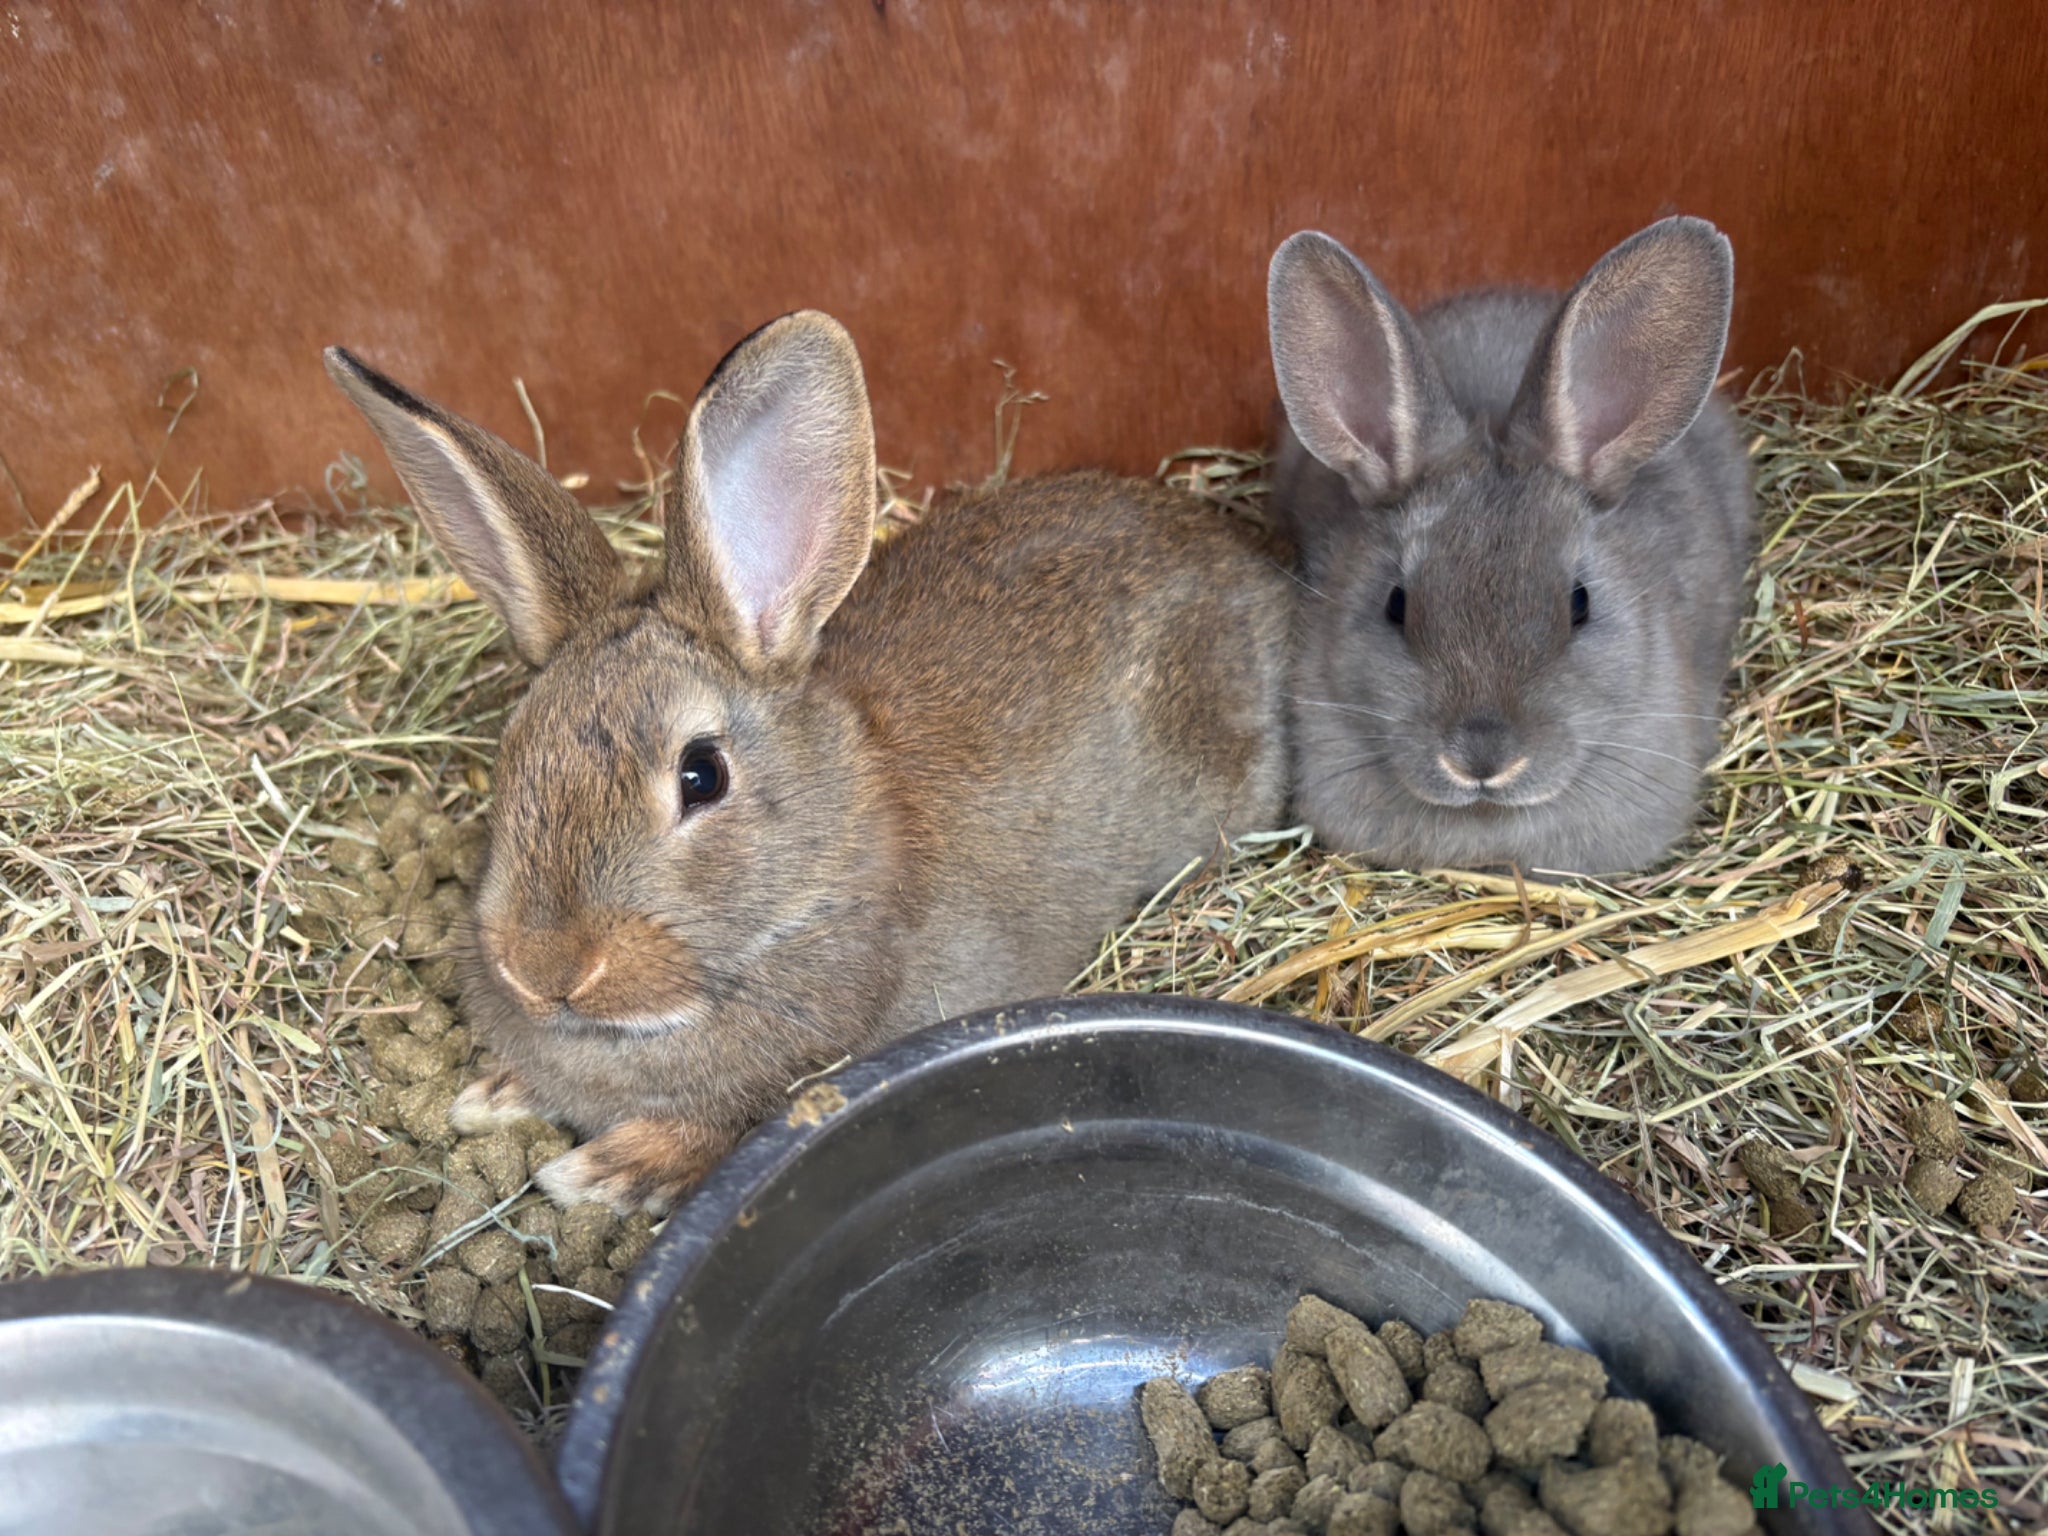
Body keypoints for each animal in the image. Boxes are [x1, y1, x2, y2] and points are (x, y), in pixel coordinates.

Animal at [324, 311, 1290, 1213]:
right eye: (513, 749)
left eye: (701, 775)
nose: (545, 972)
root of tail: (1249, 564)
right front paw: (493, 1094)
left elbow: (716, 1127)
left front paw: (597, 1173)